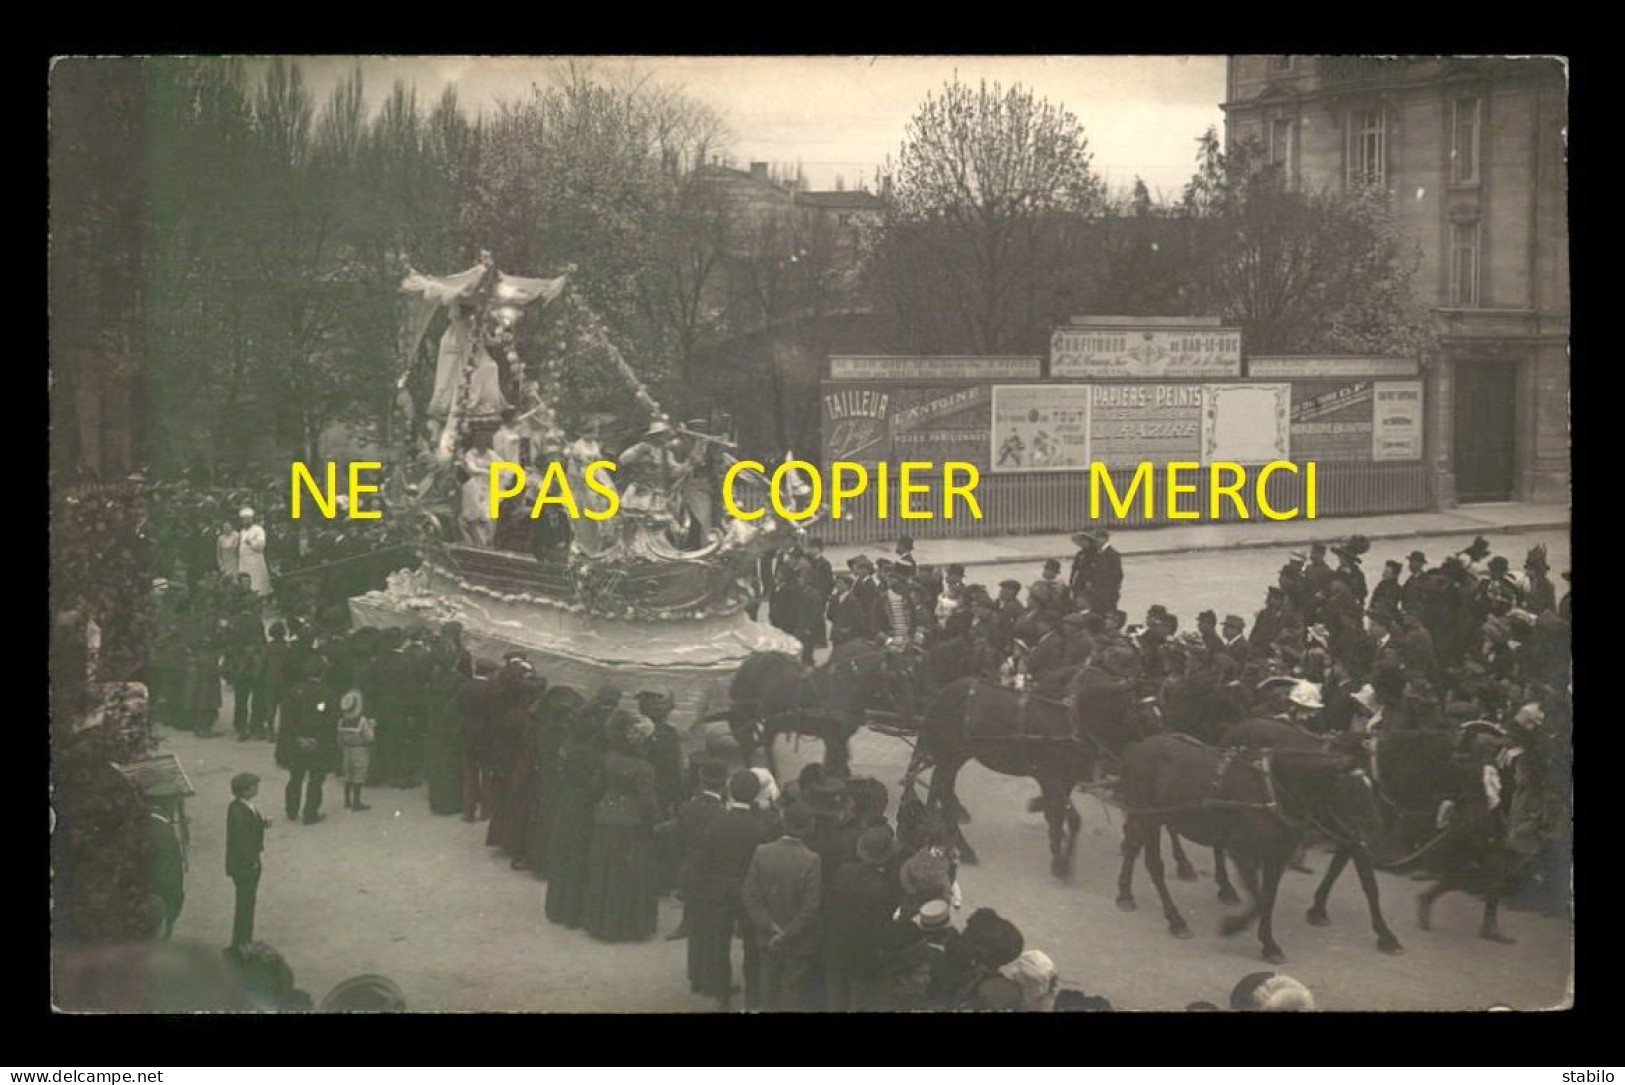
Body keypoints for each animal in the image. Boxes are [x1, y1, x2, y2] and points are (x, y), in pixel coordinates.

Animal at [1118, 734, 1384, 961]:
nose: (1373, 837)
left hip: (1150, 816)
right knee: (1153, 864)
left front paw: (1268, 944)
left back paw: (1125, 894)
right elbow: (1260, 900)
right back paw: (1176, 920)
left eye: (1371, 788)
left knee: (1132, 847)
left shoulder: (1277, 856)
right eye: (1350, 791)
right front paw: (1233, 927)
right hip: (1149, 816)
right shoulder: (1242, 852)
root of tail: (1137, 747)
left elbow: (1268, 897)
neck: (1273, 790)